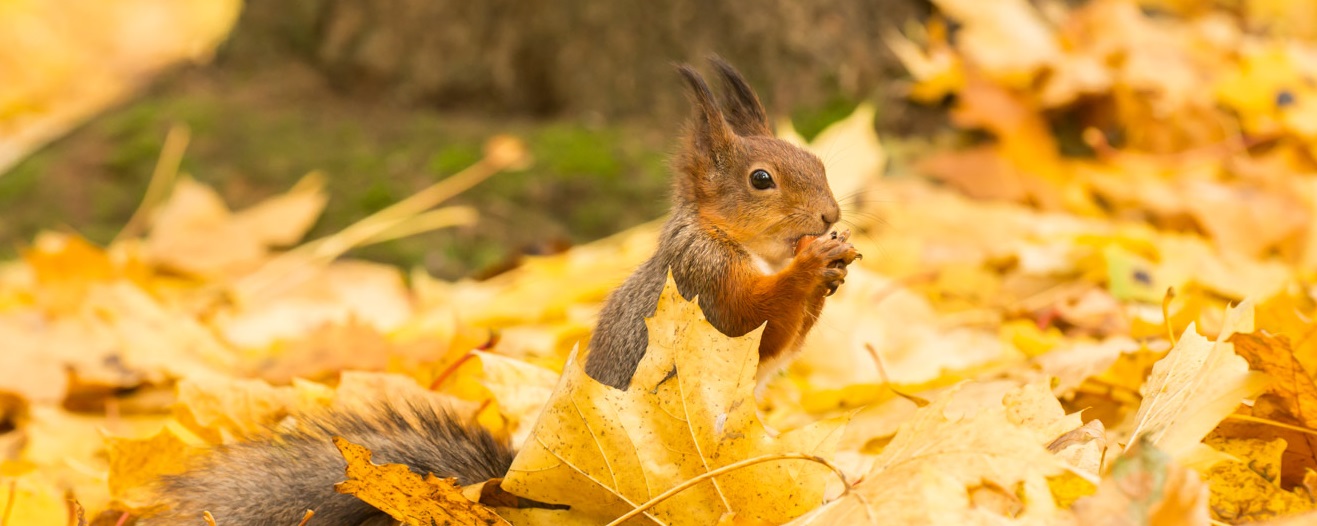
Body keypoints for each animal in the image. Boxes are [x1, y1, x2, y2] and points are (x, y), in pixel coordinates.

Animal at [144, 58, 858, 526]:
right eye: (761, 179)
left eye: (817, 160)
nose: (828, 215)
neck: (734, 242)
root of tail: (531, 495)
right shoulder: (698, 285)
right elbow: (751, 321)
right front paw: (810, 265)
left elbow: (782, 344)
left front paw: (831, 270)